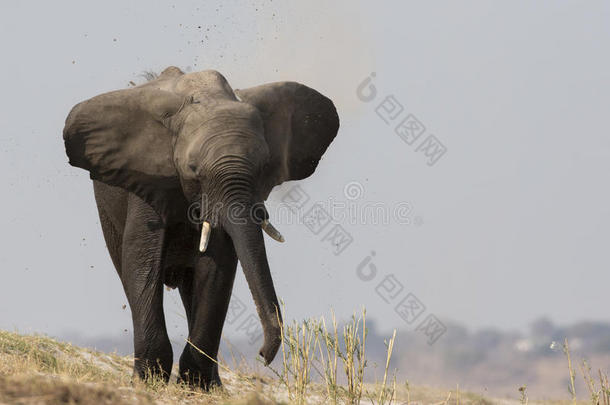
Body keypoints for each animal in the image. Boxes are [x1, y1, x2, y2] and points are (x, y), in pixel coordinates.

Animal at [63, 67, 340, 388]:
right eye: (193, 170)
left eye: (263, 167)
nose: (262, 355)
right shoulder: (146, 183)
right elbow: (141, 261)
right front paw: (149, 380)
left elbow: (217, 267)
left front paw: (199, 386)